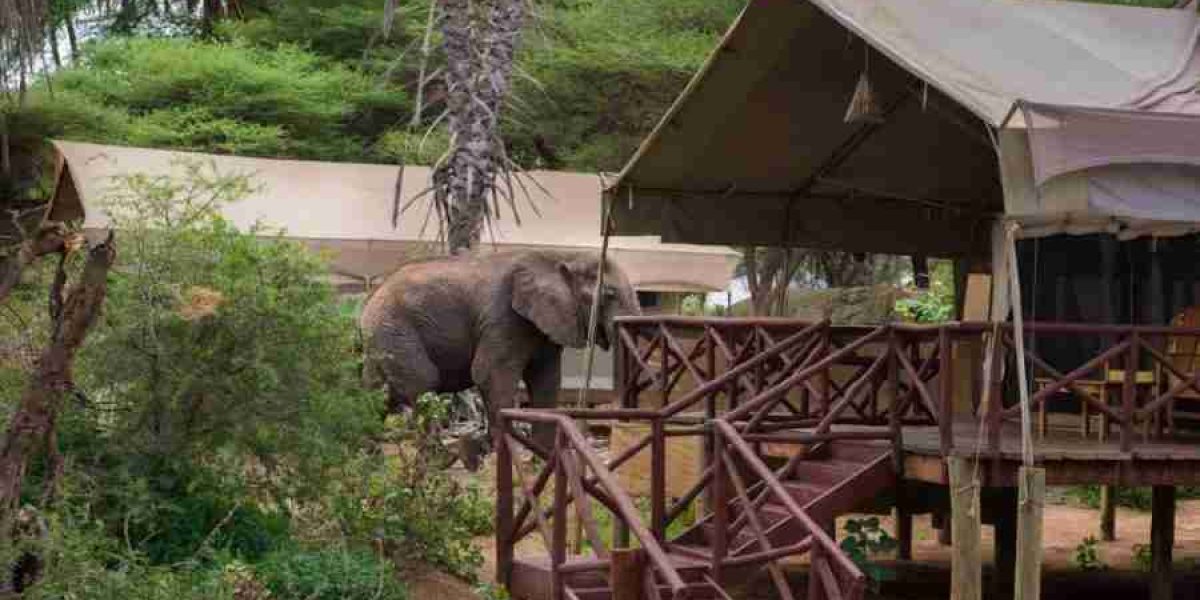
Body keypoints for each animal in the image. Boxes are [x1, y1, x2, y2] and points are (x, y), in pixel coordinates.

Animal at [360, 249, 641, 450]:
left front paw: (541, 457)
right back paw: (437, 457)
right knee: (423, 381)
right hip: (395, 328)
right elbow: (490, 374)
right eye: (610, 294)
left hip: (382, 337)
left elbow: (546, 381)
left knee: (379, 392)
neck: (559, 257)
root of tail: (368, 299)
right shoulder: (503, 316)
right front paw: (511, 454)